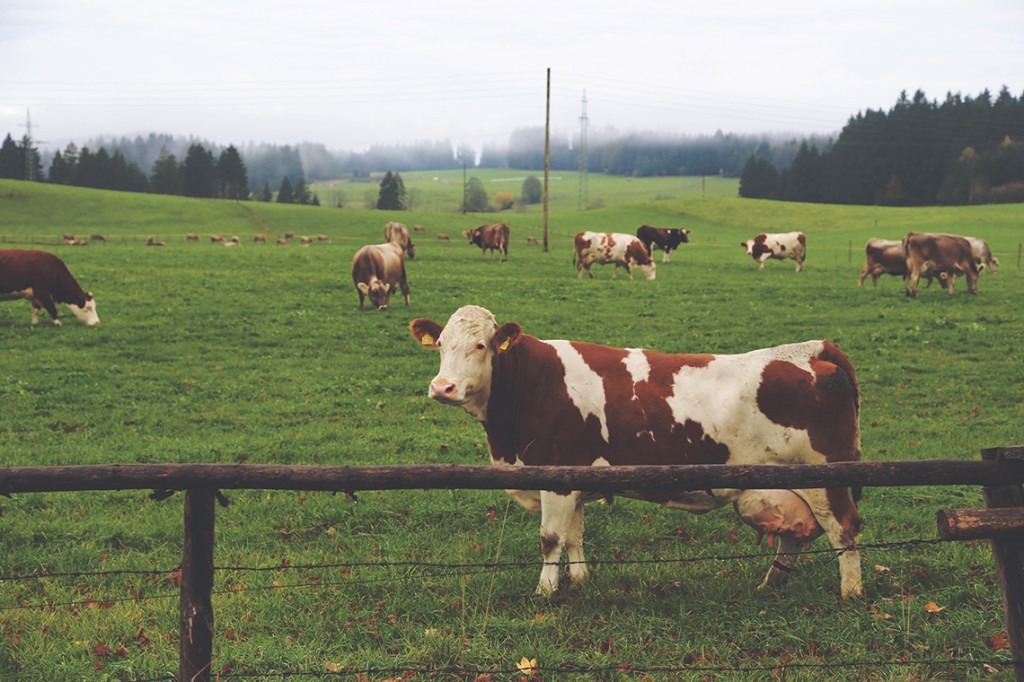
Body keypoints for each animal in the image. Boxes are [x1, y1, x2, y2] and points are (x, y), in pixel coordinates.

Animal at [407, 305, 864, 598]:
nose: (442, 387)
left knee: (845, 529)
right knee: (796, 537)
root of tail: (813, 350)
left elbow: (550, 538)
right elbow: (574, 535)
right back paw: (772, 585)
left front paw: (544, 592)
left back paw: (851, 593)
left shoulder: (555, 478)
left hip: (827, 481)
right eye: (441, 344)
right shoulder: (575, 480)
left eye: (481, 345)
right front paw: (580, 581)